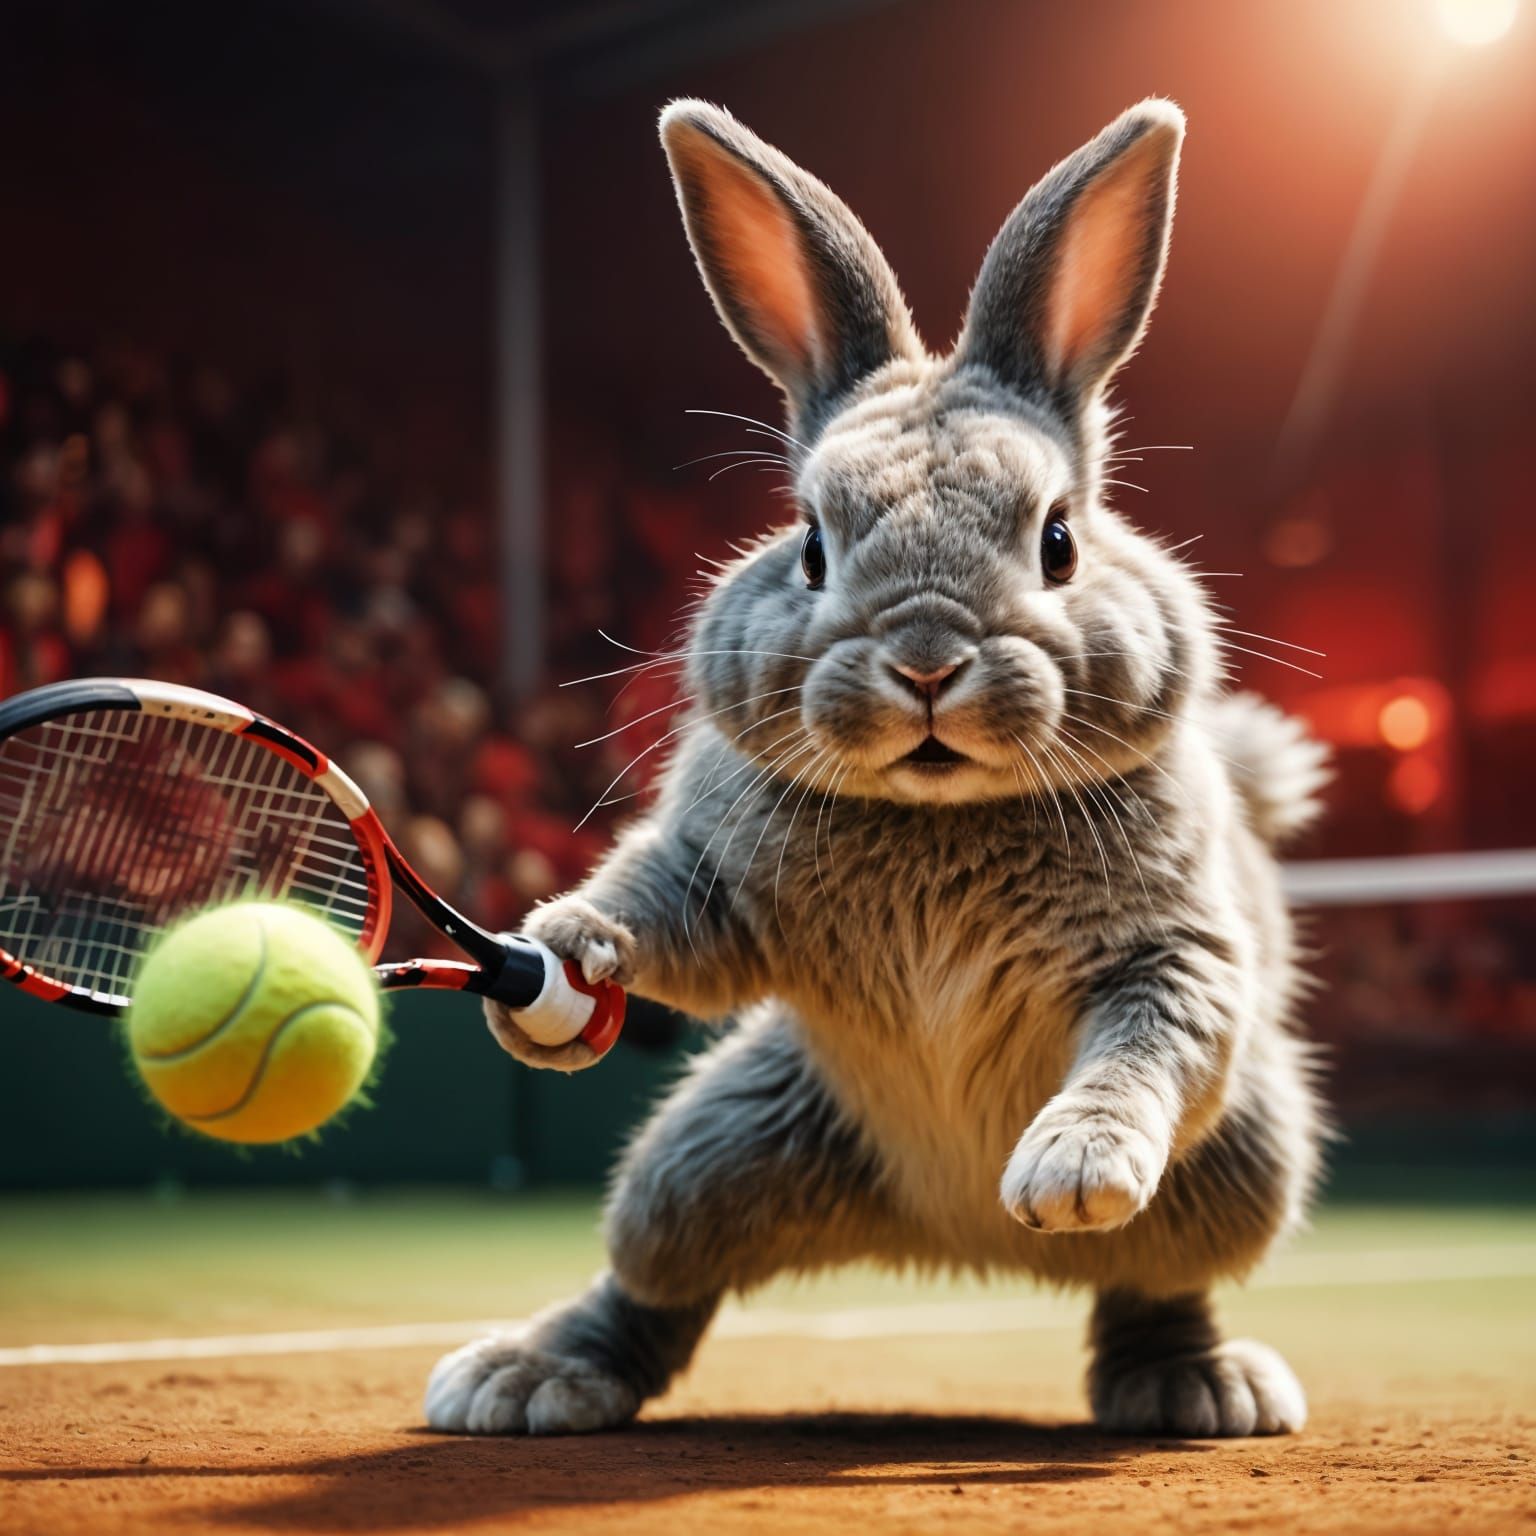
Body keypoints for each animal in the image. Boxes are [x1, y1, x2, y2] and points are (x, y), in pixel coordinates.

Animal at [426, 96, 1330, 1441]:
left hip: (1243, 1165)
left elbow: (1145, 1051)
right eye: (810, 542)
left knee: (1155, 1283)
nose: (925, 660)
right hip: (710, 1147)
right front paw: (568, 954)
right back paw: (529, 1375)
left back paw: (1196, 1386)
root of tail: (957, 1244)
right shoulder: (713, 886)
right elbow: (659, 912)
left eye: (1059, 541)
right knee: (653, 1279)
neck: (937, 812)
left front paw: (1071, 1168)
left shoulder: (1170, 956)